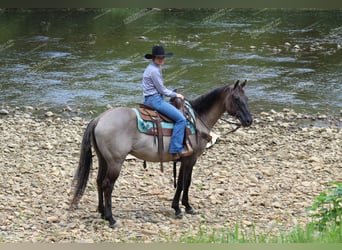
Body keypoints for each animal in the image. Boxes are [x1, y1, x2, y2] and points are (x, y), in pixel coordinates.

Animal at [70, 79, 251, 227]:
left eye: (247, 99)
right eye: (236, 99)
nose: (249, 120)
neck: (197, 120)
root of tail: (99, 119)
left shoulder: (183, 159)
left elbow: (181, 182)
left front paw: (179, 207)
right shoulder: (190, 159)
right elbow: (186, 182)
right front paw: (186, 207)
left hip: (103, 159)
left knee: (99, 181)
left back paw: (101, 212)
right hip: (115, 162)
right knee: (108, 185)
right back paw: (111, 219)